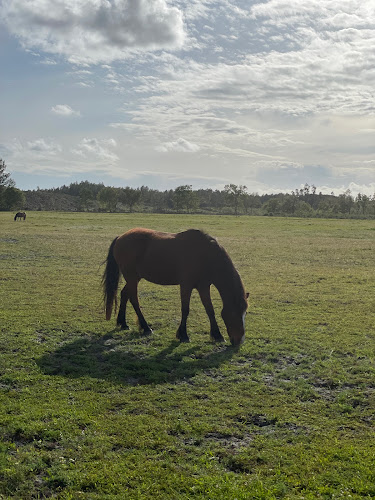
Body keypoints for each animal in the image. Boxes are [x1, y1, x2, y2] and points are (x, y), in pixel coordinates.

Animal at [103, 229, 250, 346]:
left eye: (245, 313)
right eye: (235, 313)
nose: (239, 341)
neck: (206, 255)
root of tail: (120, 237)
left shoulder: (203, 286)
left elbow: (210, 310)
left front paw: (217, 335)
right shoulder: (186, 285)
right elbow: (185, 310)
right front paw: (183, 335)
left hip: (134, 278)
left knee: (124, 294)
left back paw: (123, 323)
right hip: (132, 277)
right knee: (134, 299)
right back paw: (146, 328)